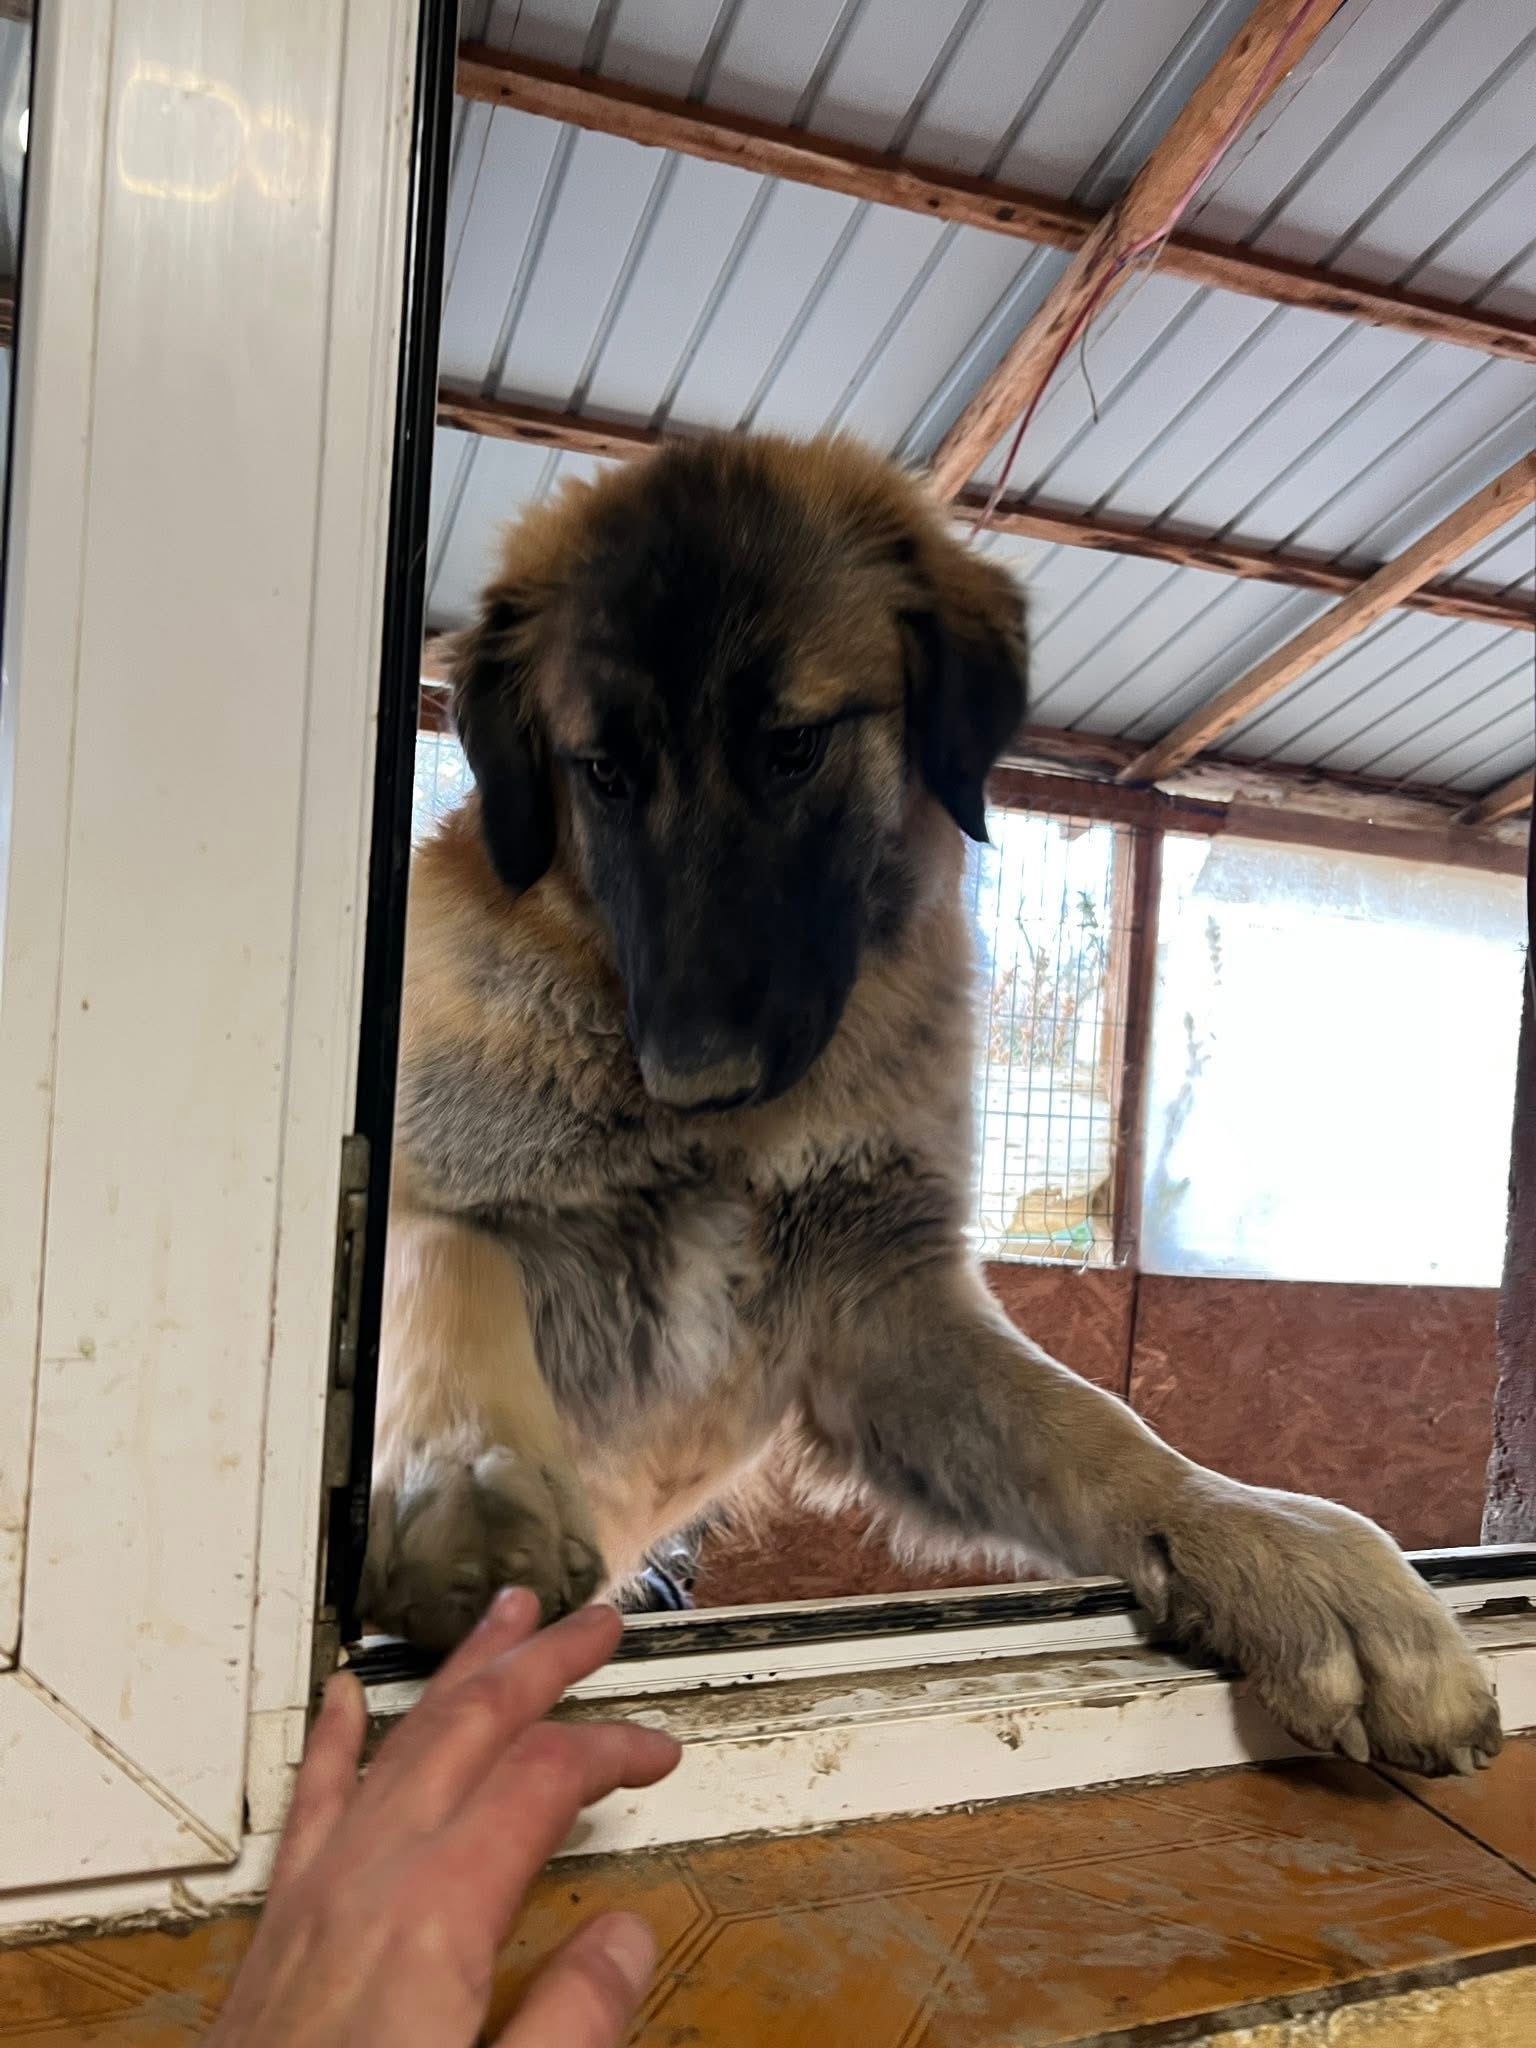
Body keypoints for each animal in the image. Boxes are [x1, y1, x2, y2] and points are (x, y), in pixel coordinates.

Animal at [362, 432, 1499, 1776]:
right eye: (604, 772)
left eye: (793, 747)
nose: (695, 1071)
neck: (728, 1145)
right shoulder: (416, 1188)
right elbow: (449, 1253)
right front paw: (465, 1477)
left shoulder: (879, 1306)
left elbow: (1098, 1424)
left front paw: (1279, 1548)